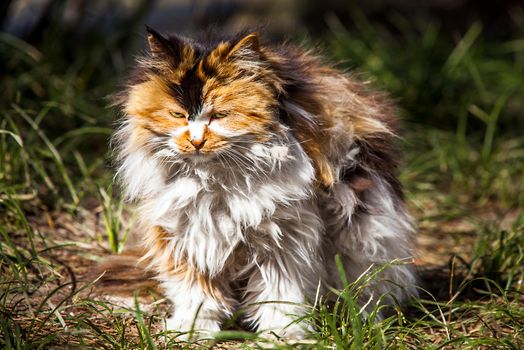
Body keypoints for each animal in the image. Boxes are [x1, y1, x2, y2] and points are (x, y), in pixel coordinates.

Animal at [111, 26, 418, 340]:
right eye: (177, 115)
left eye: (220, 115)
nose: (196, 141)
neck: (216, 182)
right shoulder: (186, 232)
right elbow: (196, 291)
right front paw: (193, 329)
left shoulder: (282, 237)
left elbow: (279, 292)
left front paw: (282, 334)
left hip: (362, 232)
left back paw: (357, 318)